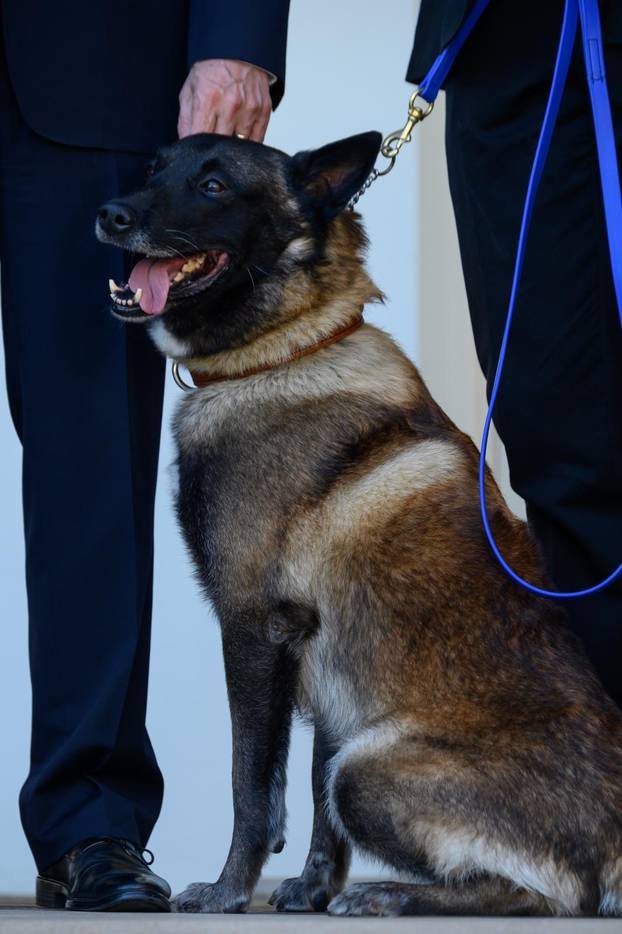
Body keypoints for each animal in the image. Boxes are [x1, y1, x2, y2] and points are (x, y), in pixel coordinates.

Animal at [95, 133, 622, 920]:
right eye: (156, 167)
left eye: (215, 185)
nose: (111, 213)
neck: (288, 348)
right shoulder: (328, 669)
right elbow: (313, 797)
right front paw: (311, 888)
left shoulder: (254, 628)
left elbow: (253, 787)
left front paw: (227, 890)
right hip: (362, 744)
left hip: (372, 767)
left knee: (549, 895)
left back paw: (394, 896)